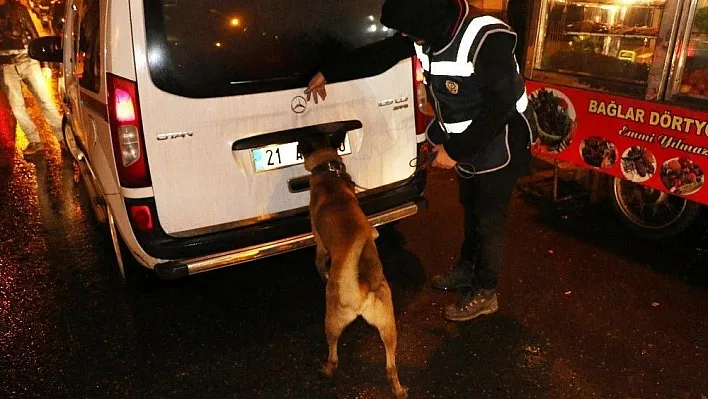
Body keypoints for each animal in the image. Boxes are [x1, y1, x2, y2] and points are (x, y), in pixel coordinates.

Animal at [298, 135, 406, 399]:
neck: (330, 174)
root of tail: (361, 292)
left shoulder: (319, 243)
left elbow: (319, 261)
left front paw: (323, 273)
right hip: (389, 329)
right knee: (391, 366)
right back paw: (398, 389)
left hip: (331, 322)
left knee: (333, 352)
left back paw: (327, 370)